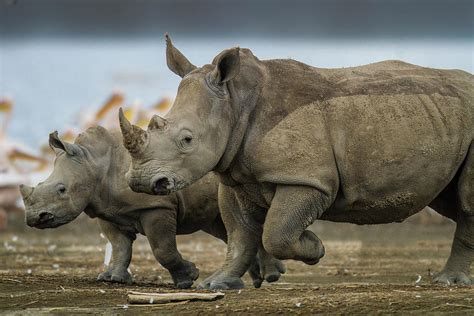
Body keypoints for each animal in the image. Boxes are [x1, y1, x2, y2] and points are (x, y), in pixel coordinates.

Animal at [19, 126, 286, 288]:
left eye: (62, 189)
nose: (34, 218)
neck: (93, 162)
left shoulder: (157, 206)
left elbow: (162, 249)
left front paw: (188, 279)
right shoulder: (108, 210)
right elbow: (120, 247)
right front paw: (112, 279)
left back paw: (269, 277)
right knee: (224, 227)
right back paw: (261, 278)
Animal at [121, 34, 474, 288]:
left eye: (187, 140)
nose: (140, 181)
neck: (236, 102)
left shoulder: (307, 179)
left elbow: (275, 232)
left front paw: (315, 248)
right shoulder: (235, 174)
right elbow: (239, 234)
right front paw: (215, 284)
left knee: (466, 203)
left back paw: (449, 282)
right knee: (450, 200)